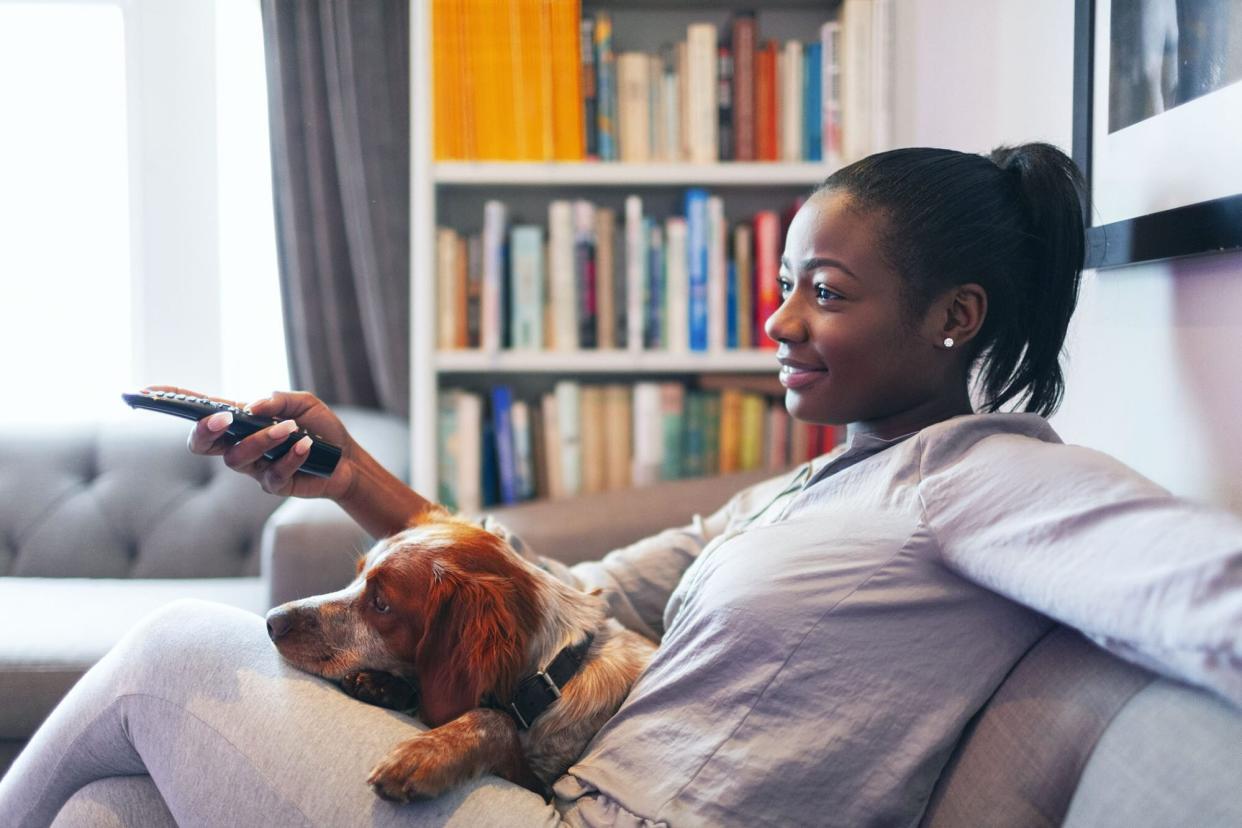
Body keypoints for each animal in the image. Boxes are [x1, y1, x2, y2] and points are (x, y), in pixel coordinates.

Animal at [265, 511, 655, 804]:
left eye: (381, 603)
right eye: (357, 574)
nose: (272, 620)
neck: (553, 674)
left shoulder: (546, 793)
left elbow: (495, 721)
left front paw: (428, 753)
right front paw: (382, 685)